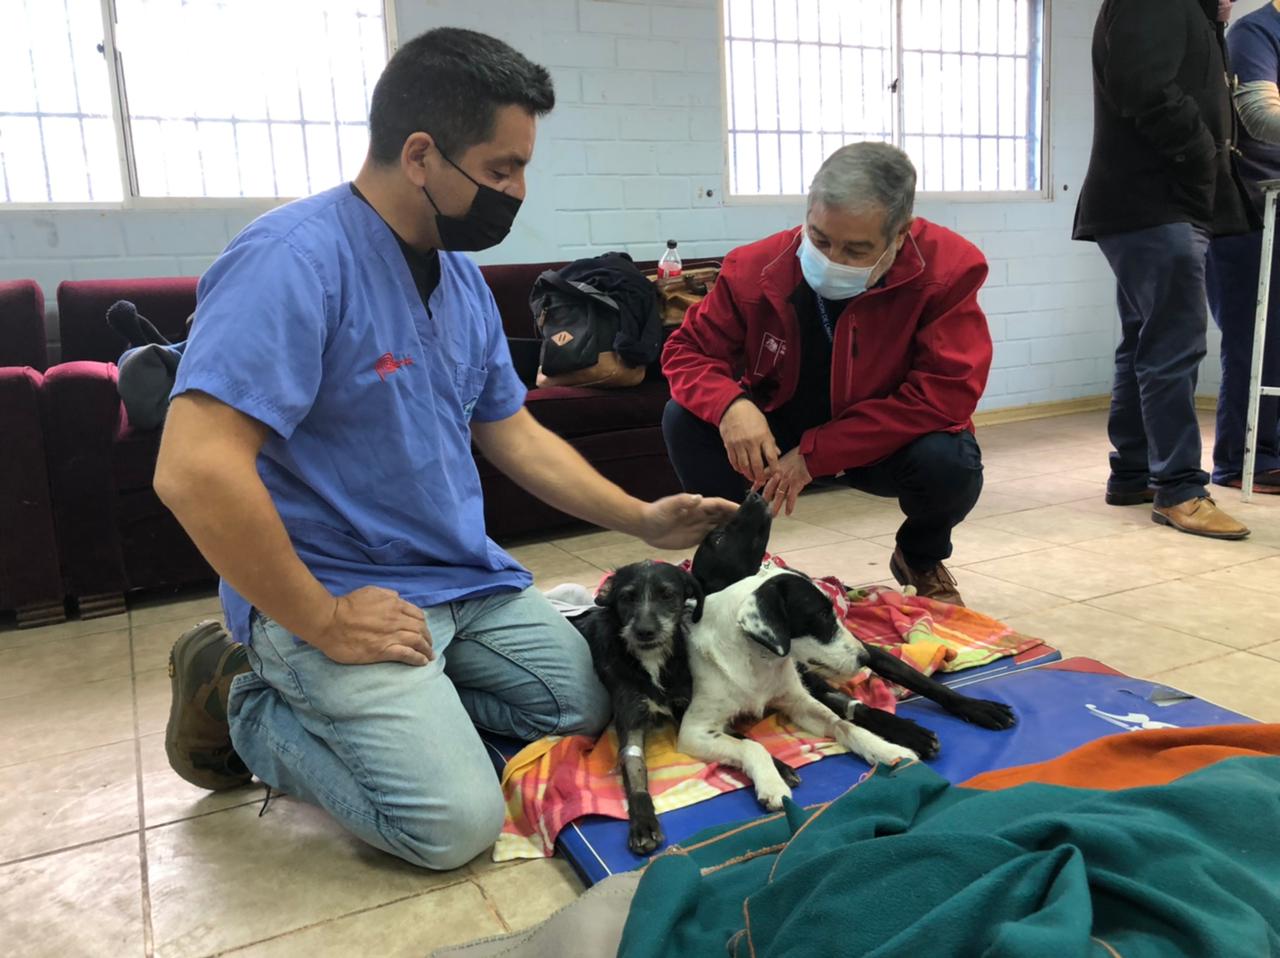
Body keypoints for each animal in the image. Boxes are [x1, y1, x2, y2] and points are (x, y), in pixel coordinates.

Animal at [680, 494, 1018, 809]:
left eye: (831, 611)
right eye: (819, 616)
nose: (753, 494)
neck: (759, 662)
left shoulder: (800, 701)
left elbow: (844, 723)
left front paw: (888, 749)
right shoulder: (695, 730)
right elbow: (752, 745)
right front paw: (773, 781)